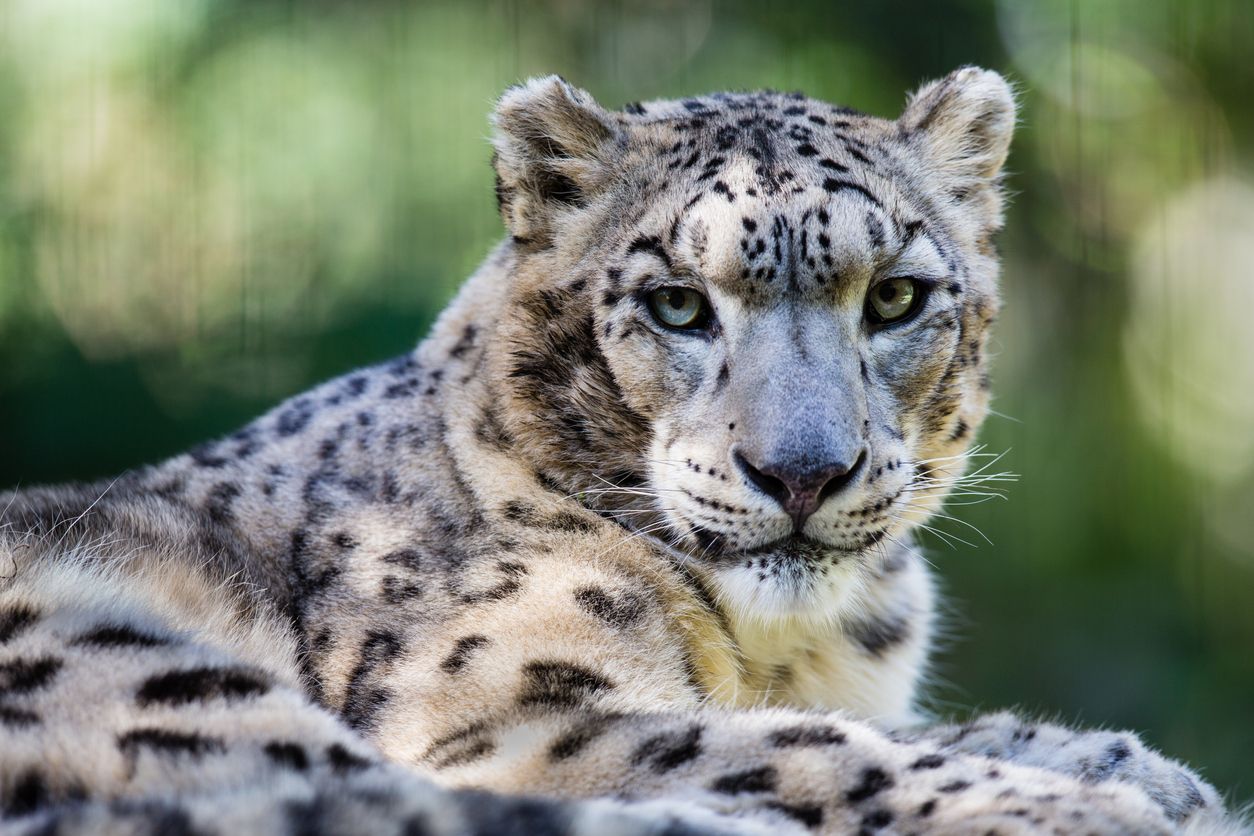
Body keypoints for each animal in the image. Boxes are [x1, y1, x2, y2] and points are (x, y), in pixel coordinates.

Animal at [0, 67, 1245, 835]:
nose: (803, 471)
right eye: (677, 303)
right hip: (134, 660)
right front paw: (1096, 799)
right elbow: (808, 742)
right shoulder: (502, 711)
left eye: (895, 295)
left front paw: (1140, 767)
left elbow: (879, 721)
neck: (788, 643)